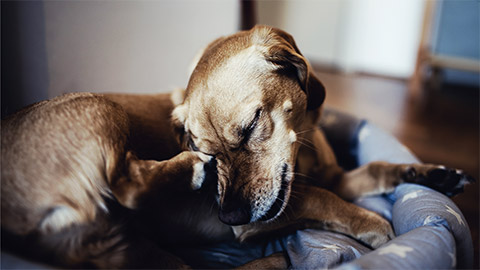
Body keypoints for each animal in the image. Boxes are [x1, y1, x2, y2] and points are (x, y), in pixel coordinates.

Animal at [0, 25, 472, 268]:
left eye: (249, 128)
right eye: (206, 147)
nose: (227, 214)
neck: (303, 150)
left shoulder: (337, 177)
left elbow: (374, 169)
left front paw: (429, 174)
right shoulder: (268, 216)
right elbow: (324, 199)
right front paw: (374, 225)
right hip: (99, 106)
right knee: (125, 184)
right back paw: (185, 172)